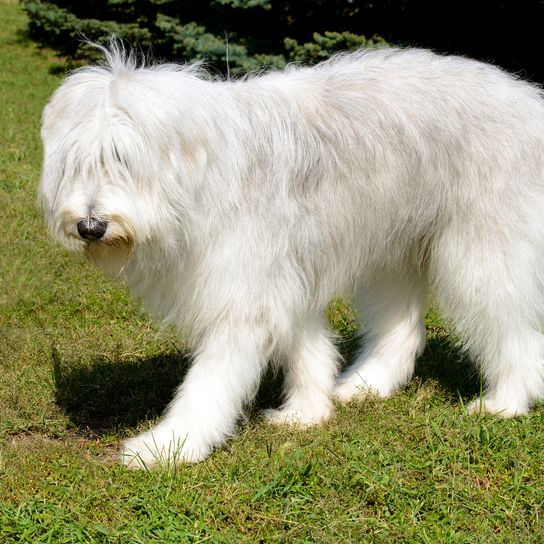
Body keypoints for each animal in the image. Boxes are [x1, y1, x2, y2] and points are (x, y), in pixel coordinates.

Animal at [40, 43, 544, 468]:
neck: (203, 171)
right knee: (402, 330)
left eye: (122, 159)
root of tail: (528, 99)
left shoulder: (245, 293)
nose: (90, 226)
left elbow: (209, 382)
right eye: (74, 164)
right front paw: (307, 413)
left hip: (481, 252)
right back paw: (366, 385)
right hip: (392, 250)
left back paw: (506, 402)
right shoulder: (283, 279)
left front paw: (168, 445)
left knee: (513, 332)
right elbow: (308, 348)